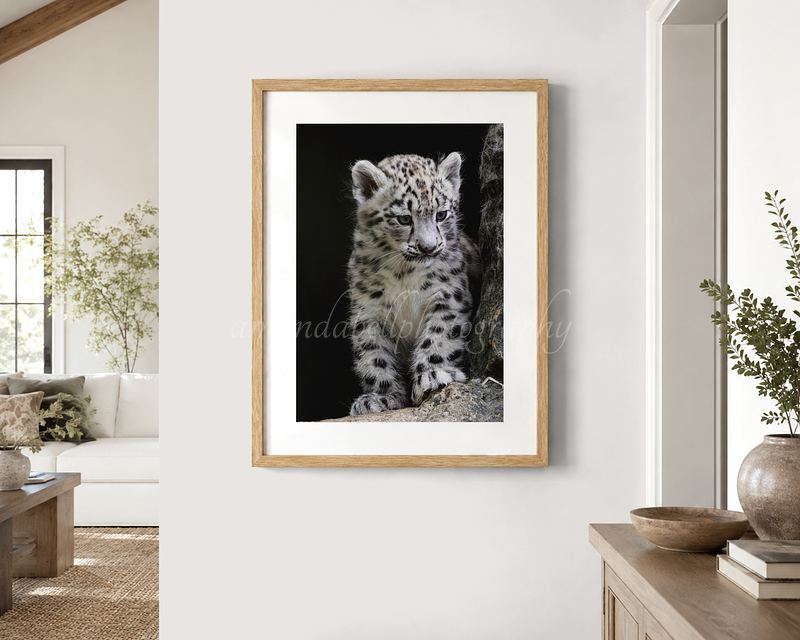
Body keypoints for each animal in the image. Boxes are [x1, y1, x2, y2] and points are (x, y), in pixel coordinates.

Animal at [346, 152, 481, 416]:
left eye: (441, 214)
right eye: (404, 218)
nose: (428, 247)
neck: (404, 273)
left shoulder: (448, 296)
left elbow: (439, 336)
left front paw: (432, 375)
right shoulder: (368, 311)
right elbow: (374, 355)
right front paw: (381, 397)